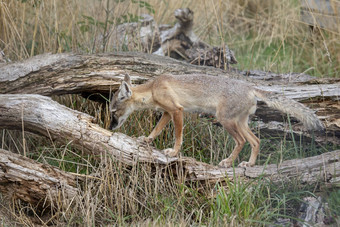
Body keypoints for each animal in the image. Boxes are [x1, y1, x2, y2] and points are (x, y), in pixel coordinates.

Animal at [109, 74, 324, 167]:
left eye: (113, 112)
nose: (110, 127)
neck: (153, 87)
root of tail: (250, 87)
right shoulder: (167, 113)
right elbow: (156, 130)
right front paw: (146, 139)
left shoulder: (177, 111)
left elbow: (178, 136)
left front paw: (174, 152)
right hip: (239, 123)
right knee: (256, 141)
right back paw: (249, 164)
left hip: (226, 121)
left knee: (242, 141)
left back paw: (228, 162)